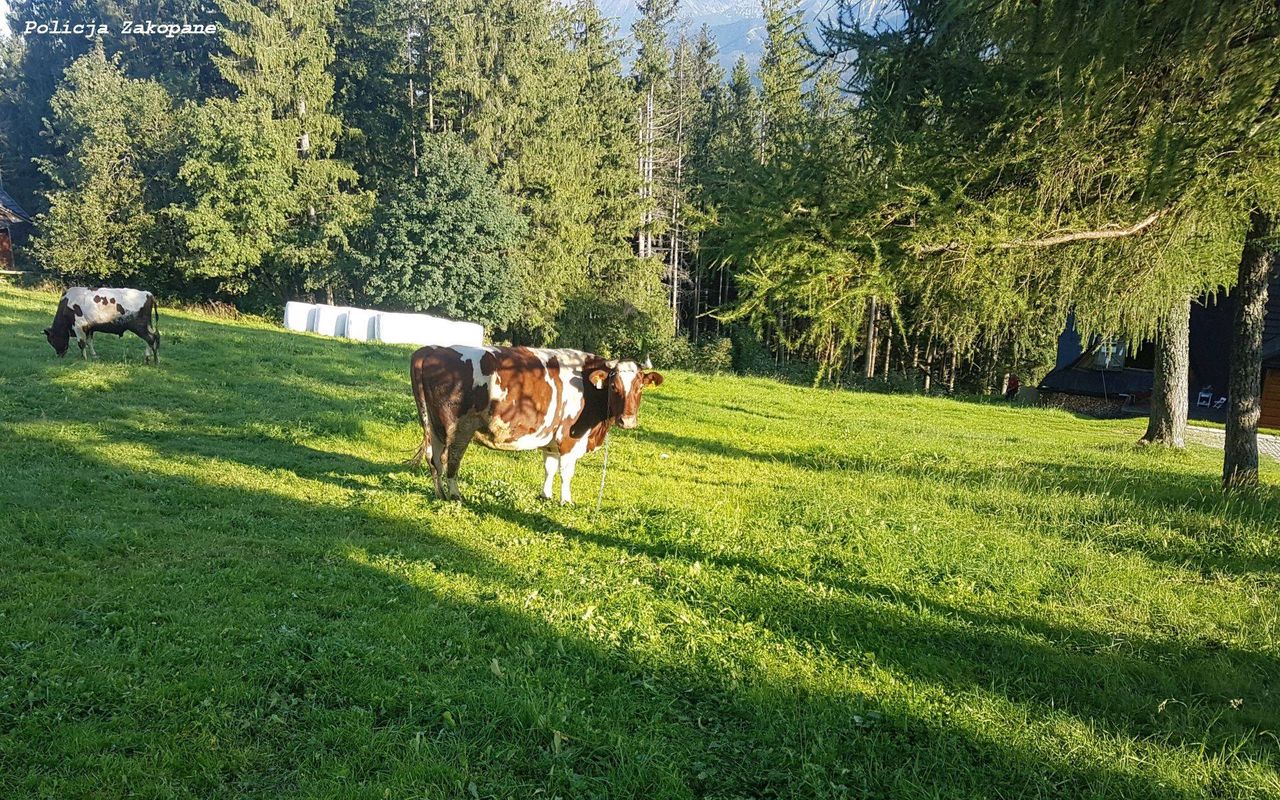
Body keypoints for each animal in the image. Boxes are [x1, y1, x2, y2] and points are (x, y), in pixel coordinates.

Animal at [412, 340, 670, 499]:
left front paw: (545, 495)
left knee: (433, 458)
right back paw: (455, 495)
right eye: (614, 387)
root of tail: (431, 350)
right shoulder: (568, 438)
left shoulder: (551, 439)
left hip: (433, 427)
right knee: (449, 459)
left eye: (639, 387)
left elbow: (550, 468)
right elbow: (566, 471)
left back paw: (440, 494)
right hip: (457, 429)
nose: (627, 421)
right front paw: (566, 500)